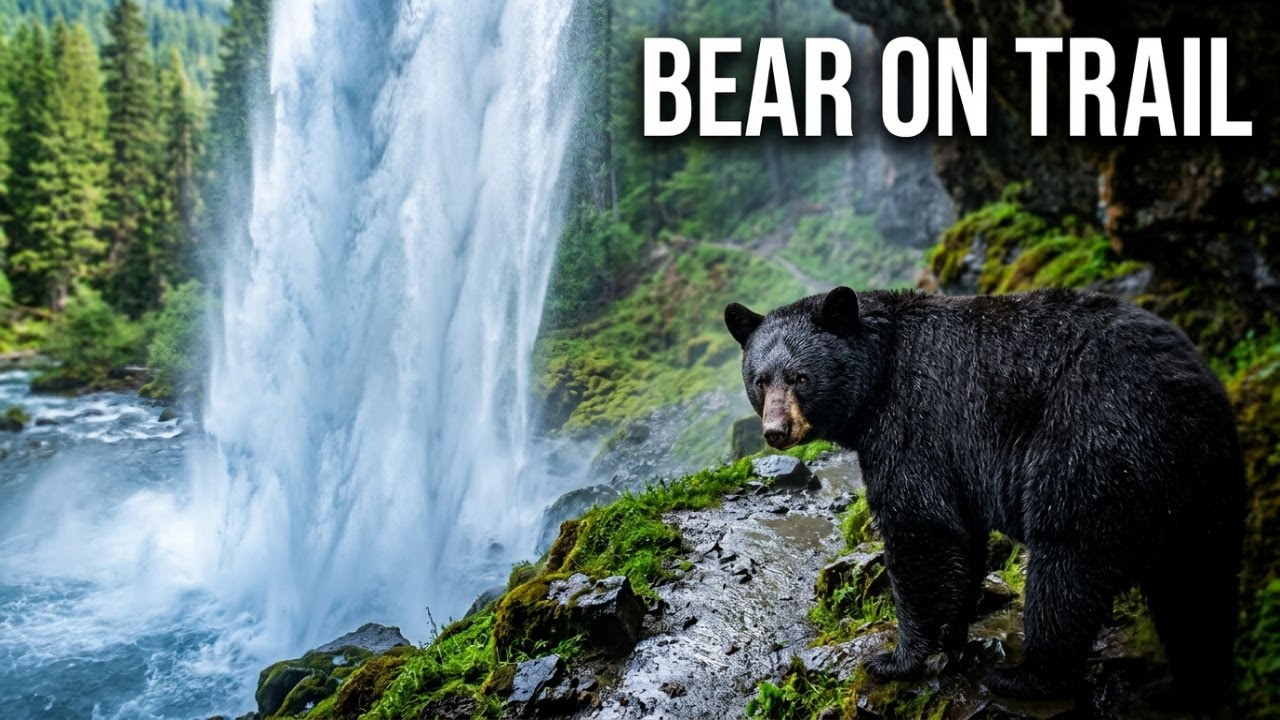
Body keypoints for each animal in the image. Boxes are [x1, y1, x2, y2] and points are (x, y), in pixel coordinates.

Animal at [724, 286, 1244, 705]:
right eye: (760, 380)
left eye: (800, 377)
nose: (775, 431)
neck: (880, 374)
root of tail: (1188, 402)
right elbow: (963, 540)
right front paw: (952, 639)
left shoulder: (915, 423)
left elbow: (920, 530)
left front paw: (895, 658)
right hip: (1204, 490)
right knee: (1197, 586)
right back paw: (1190, 686)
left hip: (1093, 450)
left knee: (1067, 566)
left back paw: (1027, 676)